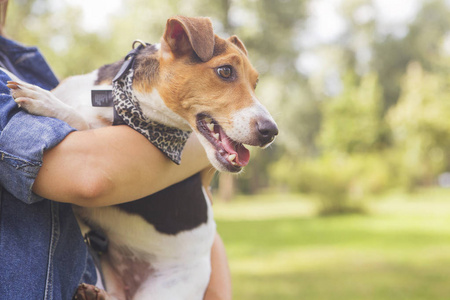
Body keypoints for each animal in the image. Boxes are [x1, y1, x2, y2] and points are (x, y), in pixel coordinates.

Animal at [7, 17, 278, 300]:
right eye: (225, 71)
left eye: (255, 84)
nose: (271, 132)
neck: (122, 101)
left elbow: (80, 120)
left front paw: (44, 100)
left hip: (165, 290)